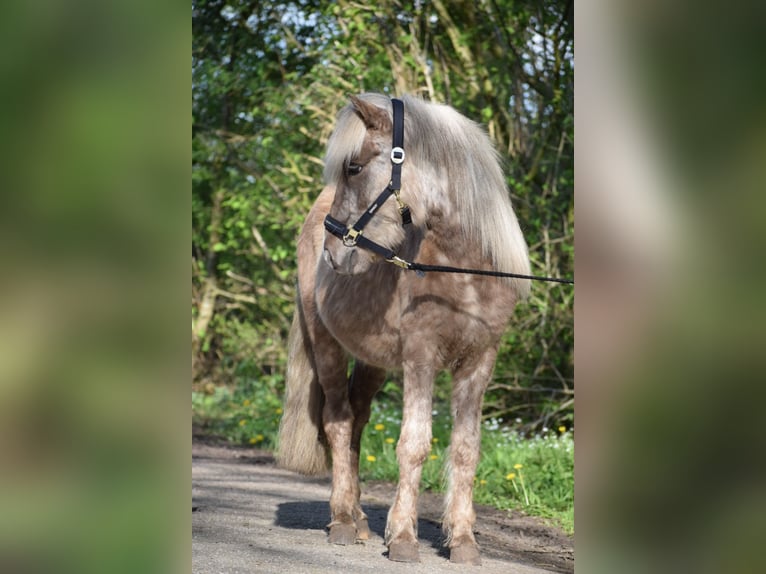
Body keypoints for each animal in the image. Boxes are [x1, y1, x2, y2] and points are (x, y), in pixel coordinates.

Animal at [278, 94, 536, 568]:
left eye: (354, 167)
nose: (333, 251)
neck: (464, 271)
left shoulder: (479, 363)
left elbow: (466, 449)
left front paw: (463, 541)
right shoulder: (421, 357)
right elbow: (414, 444)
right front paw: (402, 537)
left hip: (373, 362)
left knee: (357, 420)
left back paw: (361, 518)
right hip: (326, 345)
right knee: (338, 421)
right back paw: (343, 521)